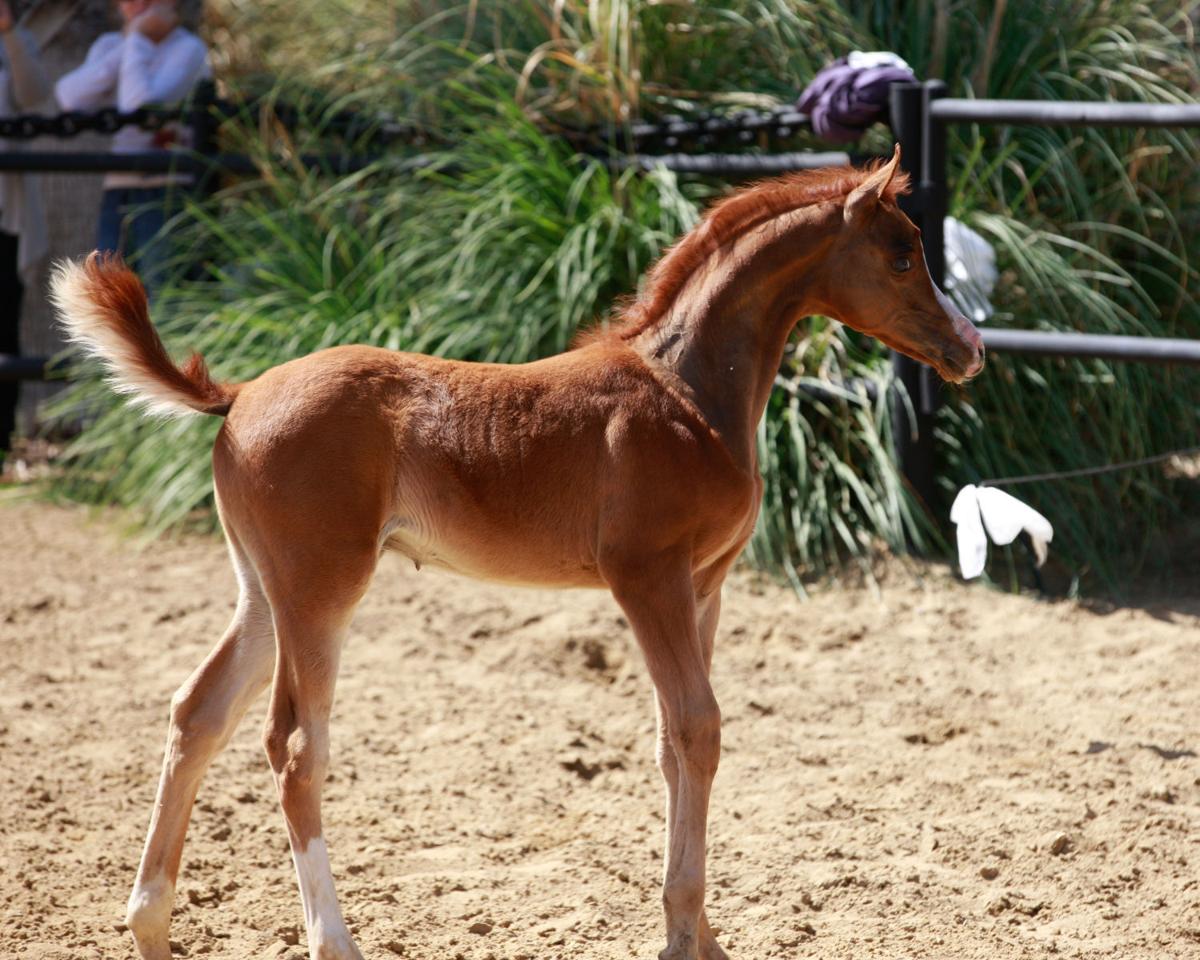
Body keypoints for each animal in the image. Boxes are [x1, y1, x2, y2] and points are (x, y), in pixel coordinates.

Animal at [51, 145, 983, 960]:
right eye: (903, 255)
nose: (970, 349)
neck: (685, 391)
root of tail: (239, 395)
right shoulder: (646, 577)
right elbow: (699, 726)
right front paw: (683, 938)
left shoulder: (704, 585)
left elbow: (673, 741)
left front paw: (698, 933)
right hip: (321, 591)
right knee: (294, 745)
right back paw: (333, 941)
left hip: (262, 590)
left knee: (197, 713)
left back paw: (151, 926)